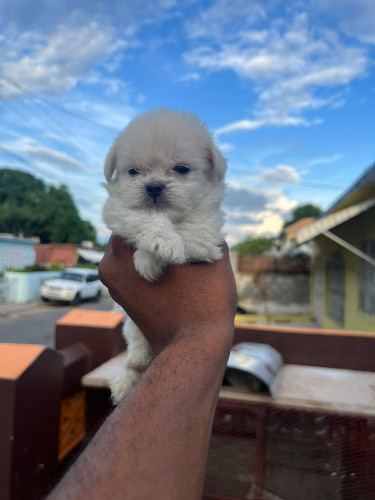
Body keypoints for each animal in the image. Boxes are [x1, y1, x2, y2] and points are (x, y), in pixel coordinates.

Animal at [101, 108, 228, 402]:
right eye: (134, 171)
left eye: (181, 169)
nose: (154, 186)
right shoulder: (118, 209)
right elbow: (144, 218)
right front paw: (161, 244)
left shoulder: (205, 233)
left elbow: (188, 232)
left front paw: (151, 257)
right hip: (131, 327)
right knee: (137, 349)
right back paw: (128, 377)